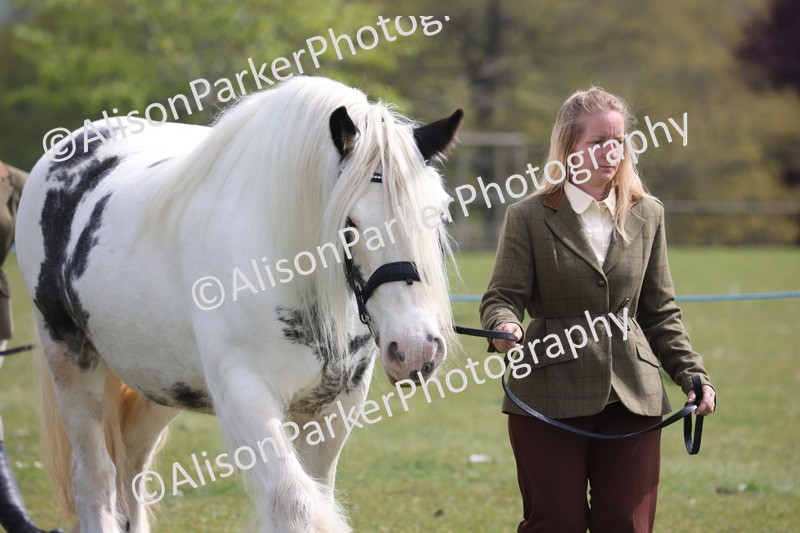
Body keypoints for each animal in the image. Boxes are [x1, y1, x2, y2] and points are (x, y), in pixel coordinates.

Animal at [16, 75, 463, 533]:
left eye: (439, 213)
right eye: (350, 224)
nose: (415, 349)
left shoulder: (335, 404)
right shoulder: (245, 394)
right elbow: (296, 506)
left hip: (158, 379)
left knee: (132, 467)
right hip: (70, 358)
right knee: (96, 476)